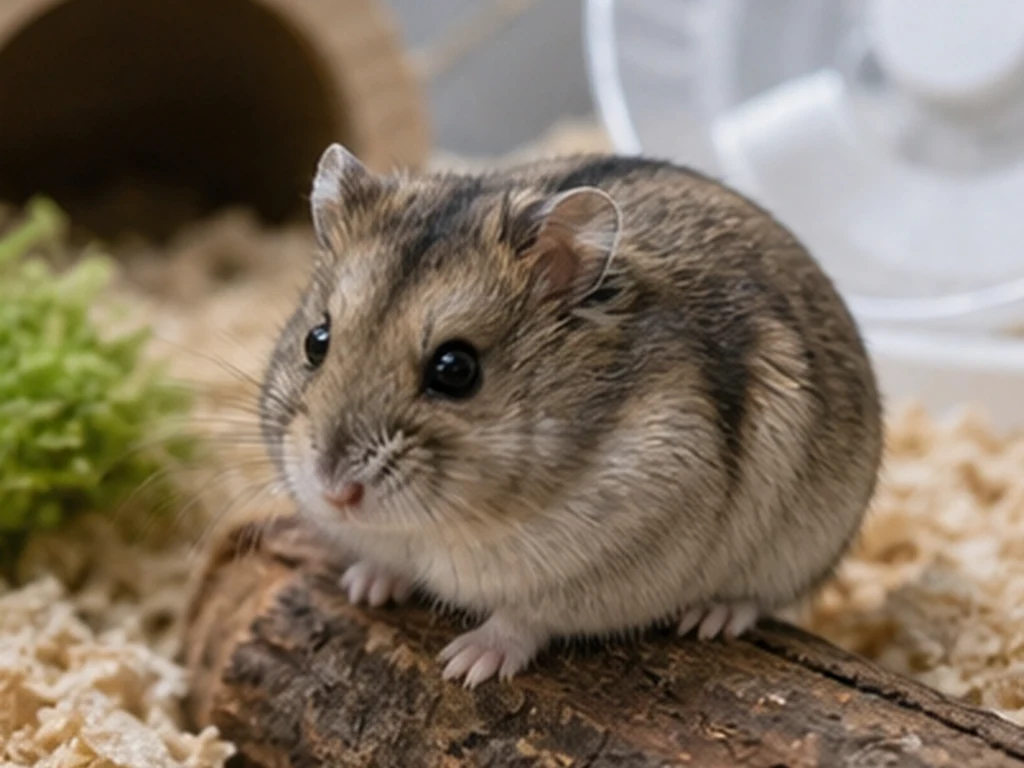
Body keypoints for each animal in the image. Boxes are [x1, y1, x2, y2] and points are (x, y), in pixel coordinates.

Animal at [258, 144, 883, 688]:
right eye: (316, 340)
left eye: (455, 369)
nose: (334, 491)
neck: (448, 523)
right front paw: (363, 586)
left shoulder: (597, 572)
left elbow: (524, 619)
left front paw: (465, 665)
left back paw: (712, 617)